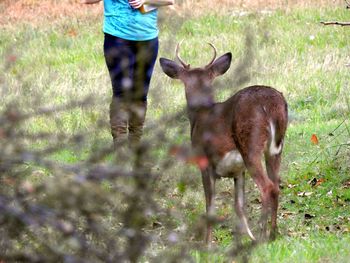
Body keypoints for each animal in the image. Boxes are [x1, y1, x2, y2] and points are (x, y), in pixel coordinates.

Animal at [160, 43, 288, 245]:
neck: (200, 115)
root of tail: (271, 104)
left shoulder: (204, 162)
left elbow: (210, 205)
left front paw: (207, 244)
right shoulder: (238, 171)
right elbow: (239, 207)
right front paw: (243, 238)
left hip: (250, 145)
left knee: (267, 187)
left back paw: (262, 236)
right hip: (275, 148)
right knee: (275, 185)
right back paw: (272, 235)